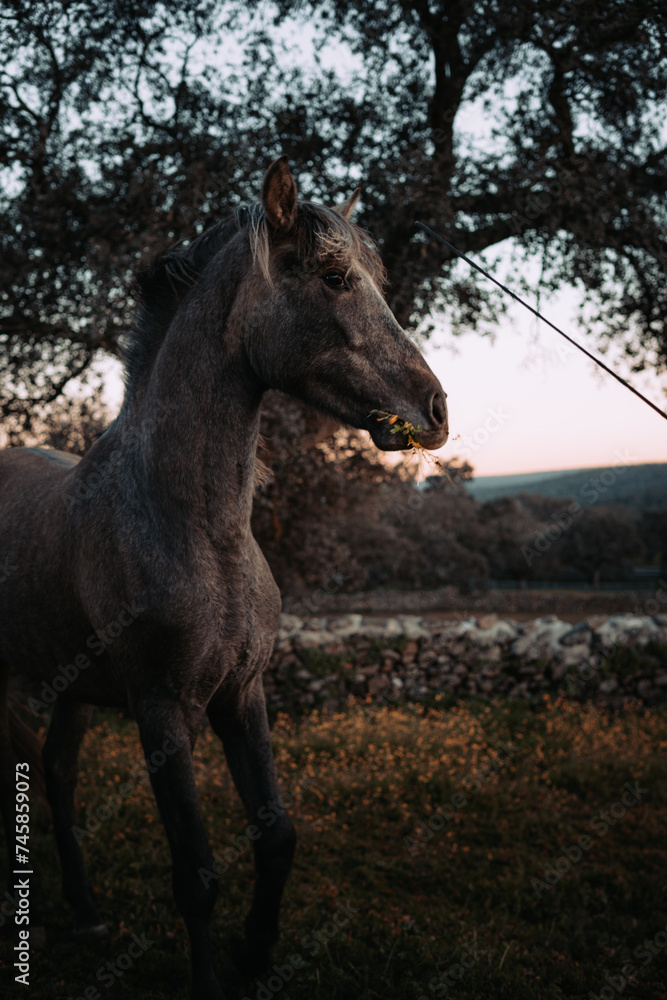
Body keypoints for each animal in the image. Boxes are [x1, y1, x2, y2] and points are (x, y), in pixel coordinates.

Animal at [0, 155, 448, 999]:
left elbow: (276, 835)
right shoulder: (162, 711)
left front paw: (256, 953)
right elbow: (197, 873)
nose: (434, 410)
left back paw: (86, 916)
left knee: (58, 778)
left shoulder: (242, 694)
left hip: (72, 693)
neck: (199, 531)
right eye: (333, 276)